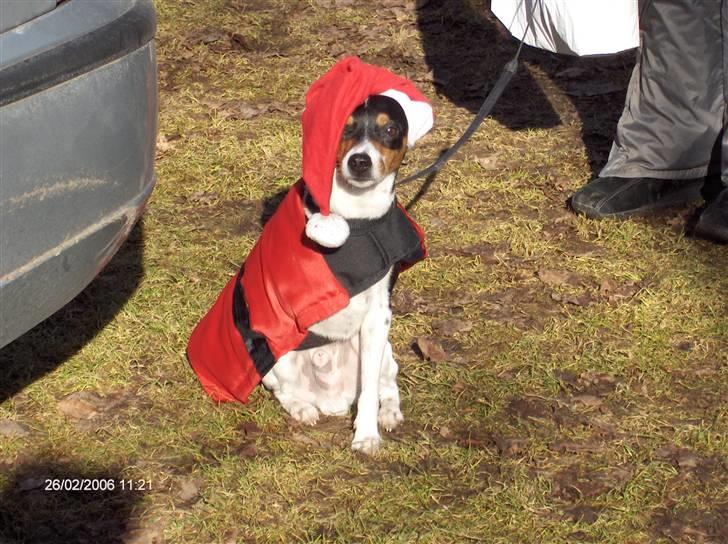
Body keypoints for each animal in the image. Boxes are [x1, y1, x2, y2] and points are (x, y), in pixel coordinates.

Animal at [264, 94, 416, 454]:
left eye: (390, 129)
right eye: (342, 128)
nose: (359, 161)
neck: (356, 217)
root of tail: (333, 401)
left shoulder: (378, 316)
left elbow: (371, 391)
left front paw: (366, 435)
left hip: (383, 350)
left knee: (386, 385)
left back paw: (388, 413)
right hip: (278, 359)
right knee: (285, 391)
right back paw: (303, 409)